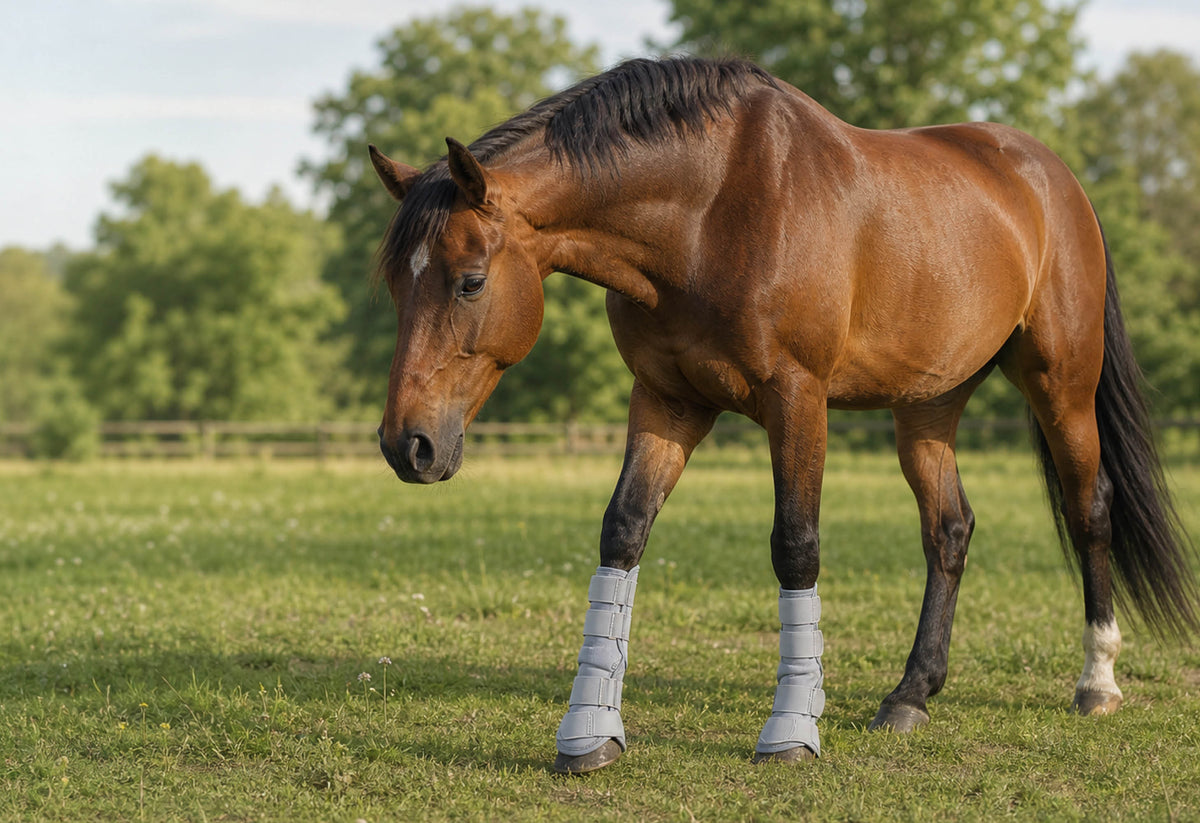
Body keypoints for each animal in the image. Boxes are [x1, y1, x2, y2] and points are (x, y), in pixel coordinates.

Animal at [369, 56, 1198, 774]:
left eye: (471, 281)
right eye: (394, 287)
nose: (408, 445)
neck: (712, 208)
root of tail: (1050, 177)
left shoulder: (797, 397)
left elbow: (796, 546)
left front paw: (791, 731)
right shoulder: (667, 399)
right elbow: (623, 533)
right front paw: (588, 732)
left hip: (1062, 385)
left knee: (1091, 508)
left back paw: (1097, 681)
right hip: (928, 404)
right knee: (949, 528)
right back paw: (912, 693)